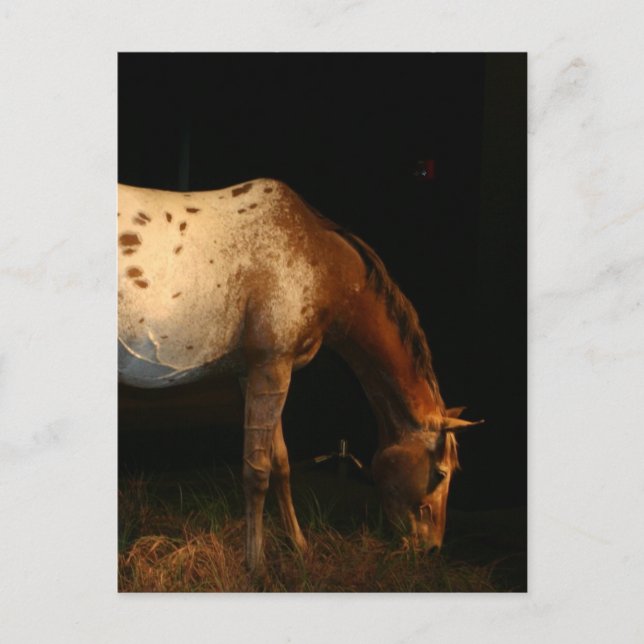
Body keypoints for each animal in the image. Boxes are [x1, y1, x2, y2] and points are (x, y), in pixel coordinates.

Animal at [118, 178, 482, 571]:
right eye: (441, 472)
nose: (431, 548)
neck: (320, 261)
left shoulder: (257, 375)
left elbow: (281, 463)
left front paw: (298, 545)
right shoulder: (271, 367)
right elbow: (258, 471)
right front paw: (256, 565)